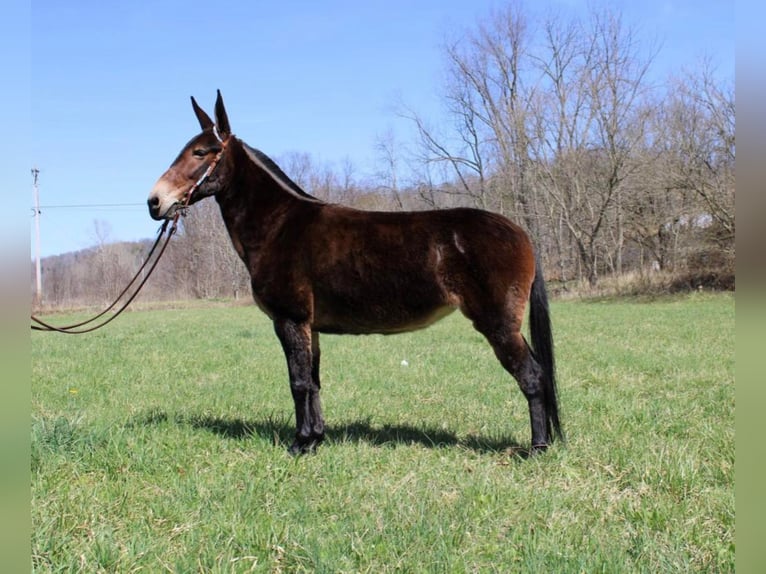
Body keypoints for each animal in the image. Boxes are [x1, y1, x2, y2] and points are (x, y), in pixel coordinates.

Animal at [148, 91, 564, 454]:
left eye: (201, 152)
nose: (155, 202)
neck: (279, 225)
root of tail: (520, 232)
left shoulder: (289, 320)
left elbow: (298, 382)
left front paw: (299, 444)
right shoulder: (309, 326)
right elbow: (314, 382)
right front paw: (315, 439)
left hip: (498, 324)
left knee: (531, 375)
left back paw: (537, 448)